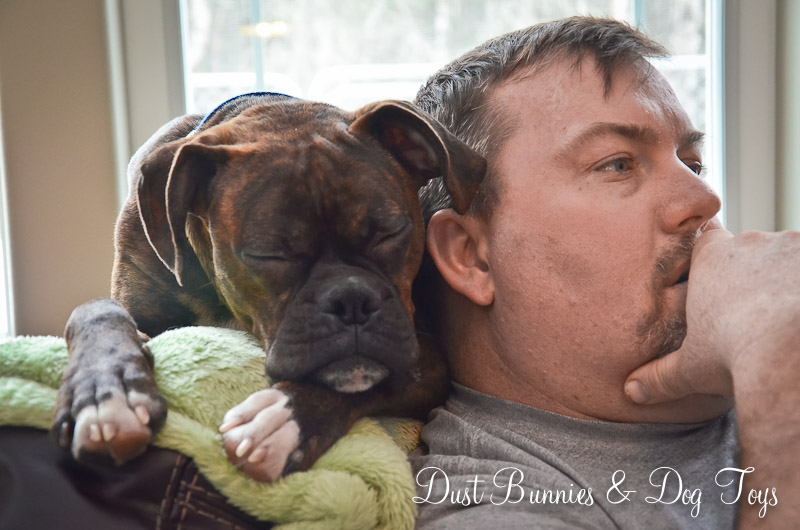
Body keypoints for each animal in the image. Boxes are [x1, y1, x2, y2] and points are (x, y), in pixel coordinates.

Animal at [52, 92, 486, 482]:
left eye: (391, 232)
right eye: (270, 255)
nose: (351, 299)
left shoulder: (426, 359)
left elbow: (370, 382)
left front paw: (283, 417)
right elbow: (98, 310)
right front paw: (106, 390)